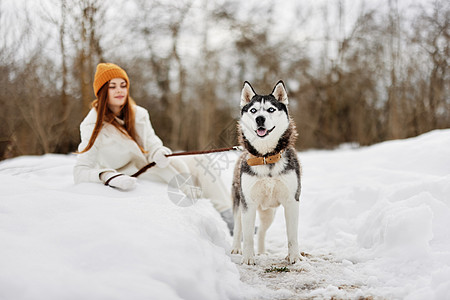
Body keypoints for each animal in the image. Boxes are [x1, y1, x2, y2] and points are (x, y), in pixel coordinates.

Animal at [230, 80, 300, 264]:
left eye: (271, 109)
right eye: (253, 110)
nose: (259, 119)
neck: (266, 157)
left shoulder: (292, 201)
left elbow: (292, 235)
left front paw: (294, 256)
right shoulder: (248, 203)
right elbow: (247, 236)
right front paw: (248, 258)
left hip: (269, 212)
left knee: (261, 230)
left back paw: (261, 252)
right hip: (239, 202)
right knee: (238, 226)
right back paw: (236, 248)